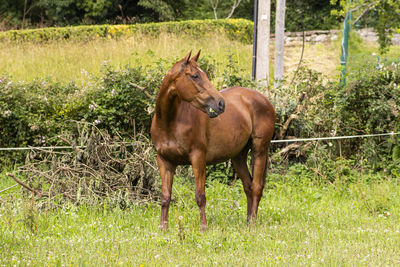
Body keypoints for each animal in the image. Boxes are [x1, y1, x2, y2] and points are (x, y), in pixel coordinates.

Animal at [150, 51, 276, 231]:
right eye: (195, 76)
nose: (220, 104)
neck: (169, 122)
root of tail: (264, 100)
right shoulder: (165, 161)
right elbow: (165, 196)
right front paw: (163, 228)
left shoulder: (198, 158)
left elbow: (200, 196)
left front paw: (204, 227)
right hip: (238, 156)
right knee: (248, 186)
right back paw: (247, 221)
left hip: (260, 150)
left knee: (257, 187)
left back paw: (252, 223)